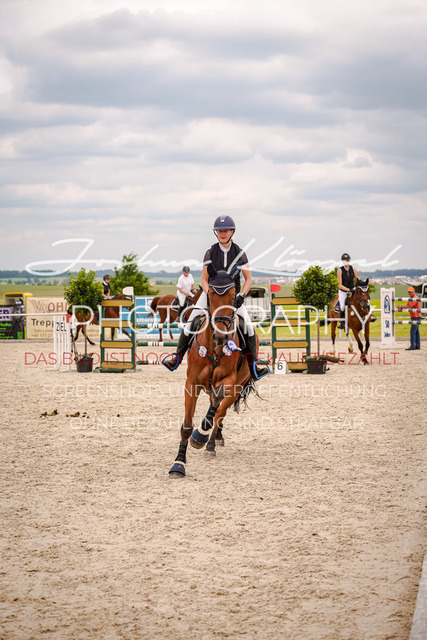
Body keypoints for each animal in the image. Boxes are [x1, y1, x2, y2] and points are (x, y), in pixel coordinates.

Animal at [168, 271, 259, 477]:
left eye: (233, 296)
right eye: (210, 294)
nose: (220, 336)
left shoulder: (229, 381)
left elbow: (216, 406)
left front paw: (200, 436)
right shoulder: (191, 383)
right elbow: (187, 426)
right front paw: (179, 463)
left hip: (237, 387)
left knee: (220, 412)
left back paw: (210, 443)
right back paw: (215, 436)